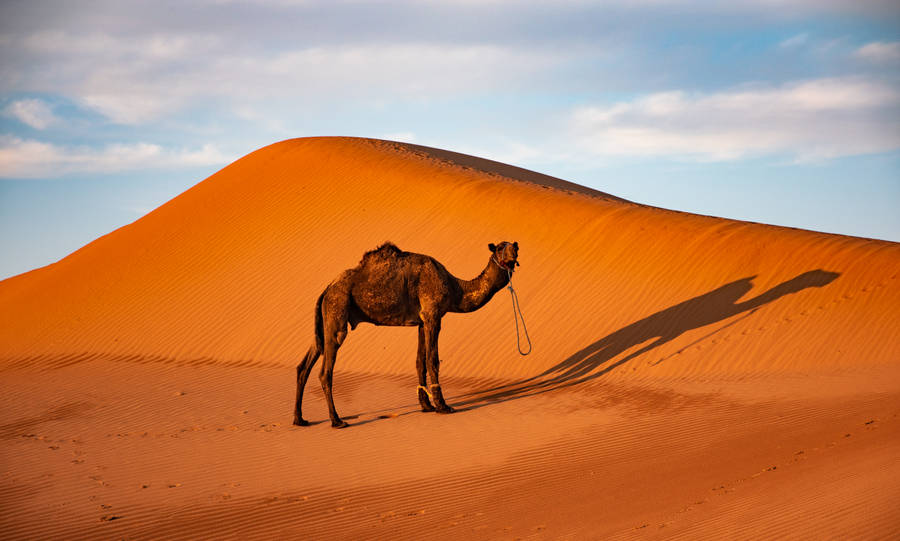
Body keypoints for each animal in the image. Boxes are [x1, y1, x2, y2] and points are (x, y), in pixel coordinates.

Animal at [293, 241, 520, 428]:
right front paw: (443, 406)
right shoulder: (433, 316)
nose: (516, 248)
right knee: (326, 370)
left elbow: (420, 361)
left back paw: (300, 419)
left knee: (304, 364)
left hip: (324, 322)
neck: (456, 288)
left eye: (513, 246)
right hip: (337, 310)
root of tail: (327, 289)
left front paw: (426, 406)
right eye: (501, 247)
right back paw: (337, 421)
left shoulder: (421, 321)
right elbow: (432, 360)